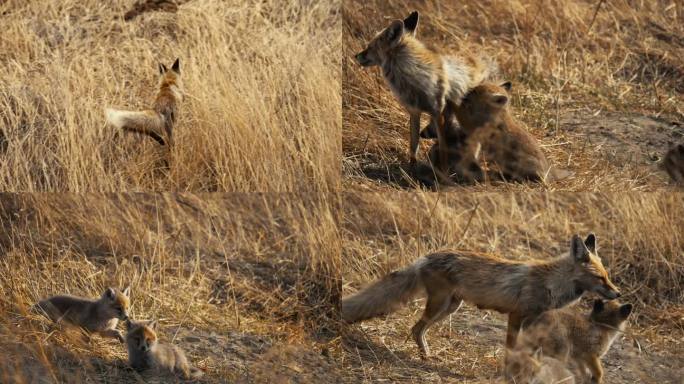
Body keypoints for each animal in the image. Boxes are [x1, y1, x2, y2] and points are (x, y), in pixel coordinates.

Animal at [340, 234, 620, 356]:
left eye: (608, 276)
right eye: (600, 278)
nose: (617, 293)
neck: (551, 284)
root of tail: (427, 256)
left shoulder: (532, 319)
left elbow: (529, 350)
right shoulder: (516, 315)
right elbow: (511, 347)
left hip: (450, 307)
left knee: (417, 329)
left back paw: (426, 354)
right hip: (439, 305)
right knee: (415, 328)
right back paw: (425, 355)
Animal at [356, 9, 494, 172]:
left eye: (370, 47)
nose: (356, 55)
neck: (414, 81)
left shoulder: (438, 113)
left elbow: (443, 149)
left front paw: (444, 173)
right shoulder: (414, 112)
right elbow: (413, 145)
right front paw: (411, 170)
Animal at [428, 80, 572, 183]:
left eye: (475, 92)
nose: (465, 93)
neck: (496, 115)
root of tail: (550, 172)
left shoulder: (472, 125)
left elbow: (460, 112)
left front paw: (451, 100)